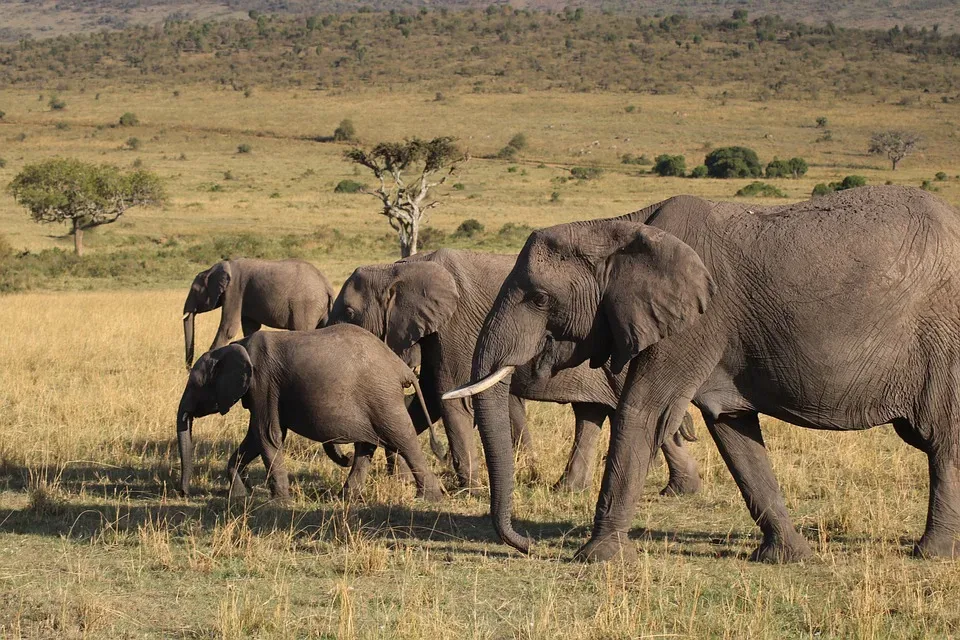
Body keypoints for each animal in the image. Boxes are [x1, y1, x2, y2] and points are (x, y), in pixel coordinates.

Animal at [174, 324, 444, 500]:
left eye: (195, 385)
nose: (184, 492)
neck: (236, 347)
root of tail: (401, 368)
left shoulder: (263, 382)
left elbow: (267, 435)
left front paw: (279, 502)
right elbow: (254, 439)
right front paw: (240, 495)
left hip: (382, 396)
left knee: (402, 438)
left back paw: (429, 497)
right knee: (367, 446)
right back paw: (346, 497)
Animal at [182, 258, 336, 368]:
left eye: (195, 290)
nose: (188, 369)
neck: (214, 268)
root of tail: (327, 285)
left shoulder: (235, 289)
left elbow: (228, 329)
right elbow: (250, 328)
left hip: (306, 306)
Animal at [330, 250, 696, 496]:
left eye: (349, 312)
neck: (399, 268)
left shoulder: (456, 326)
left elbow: (450, 398)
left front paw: (470, 491)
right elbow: (431, 400)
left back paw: (679, 491)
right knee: (591, 414)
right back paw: (568, 489)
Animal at [446, 185, 960, 560]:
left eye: (539, 299)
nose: (527, 545)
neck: (620, 227)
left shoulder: (696, 321)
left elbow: (643, 412)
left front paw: (596, 559)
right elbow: (733, 431)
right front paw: (788, 558)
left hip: (946, 340)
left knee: (944, 443)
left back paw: (931, 554)